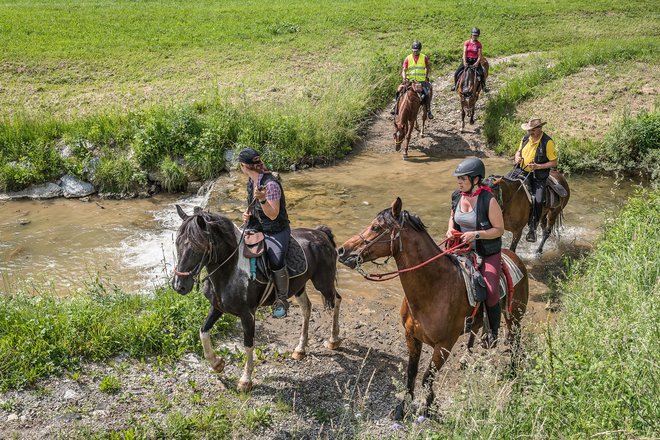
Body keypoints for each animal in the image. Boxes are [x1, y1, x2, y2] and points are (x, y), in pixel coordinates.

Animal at [170, 206, 346, 392]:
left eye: (199, 246)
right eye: (177, 243)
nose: (179, 286)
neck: (230, 270)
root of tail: (320, 233)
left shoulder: (248, 314)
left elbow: (248, 344)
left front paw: (245, 380)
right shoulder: (217, 307)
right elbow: (203, 331)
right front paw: (217, 363)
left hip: (323, 283)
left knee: (336, 300)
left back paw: (333, 340)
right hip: (299, 287)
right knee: (307, 308)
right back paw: (300, 349)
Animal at [338, 199, 528, 420]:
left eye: (376, 227)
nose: (341, 251)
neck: (434, 289)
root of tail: (514, 257)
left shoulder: (444, 345)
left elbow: (427, 377)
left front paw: (429, 408)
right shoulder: (411, 337)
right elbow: (411, 374)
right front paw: (403, 407)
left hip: (514, 317)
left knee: (515, 342)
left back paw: (513, 372)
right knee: (476, 334)